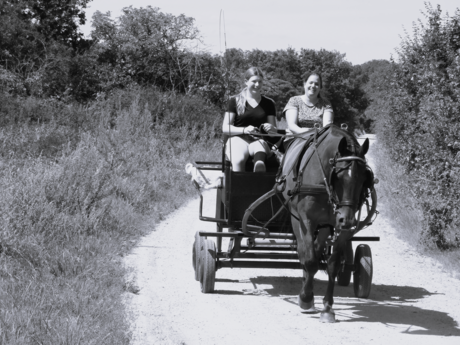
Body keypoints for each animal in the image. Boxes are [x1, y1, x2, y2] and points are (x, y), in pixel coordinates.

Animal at [274, 124, 372, 322]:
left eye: (364, 178)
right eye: (339, 176)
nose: (347, 218)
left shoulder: (340, 227)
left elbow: (333, 265)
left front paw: (327, 308)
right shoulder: (307, 219)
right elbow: (310, 261)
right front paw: (306, 298)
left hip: (327, 225)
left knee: (317, 247)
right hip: (296, 218)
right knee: (303, 252)